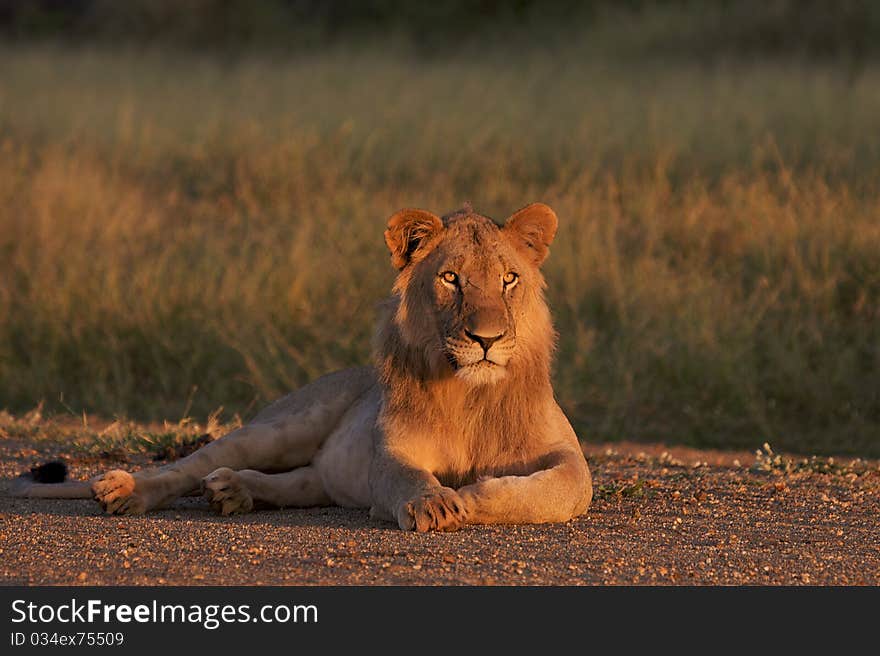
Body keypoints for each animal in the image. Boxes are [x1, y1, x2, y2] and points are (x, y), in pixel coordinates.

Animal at [12, 202, 592, 532]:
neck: (471, 392)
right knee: (188, 467)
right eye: (451, 278)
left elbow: (556, 488)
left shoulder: (569, 458)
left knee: (293, 483)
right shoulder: (391, 452)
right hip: (281, 427)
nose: (486, 339)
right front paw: (437, 501)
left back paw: (233, 492)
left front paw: (469, 495)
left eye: (509, 279)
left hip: (319, 477)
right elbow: (406, 475)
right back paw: (127, 492)